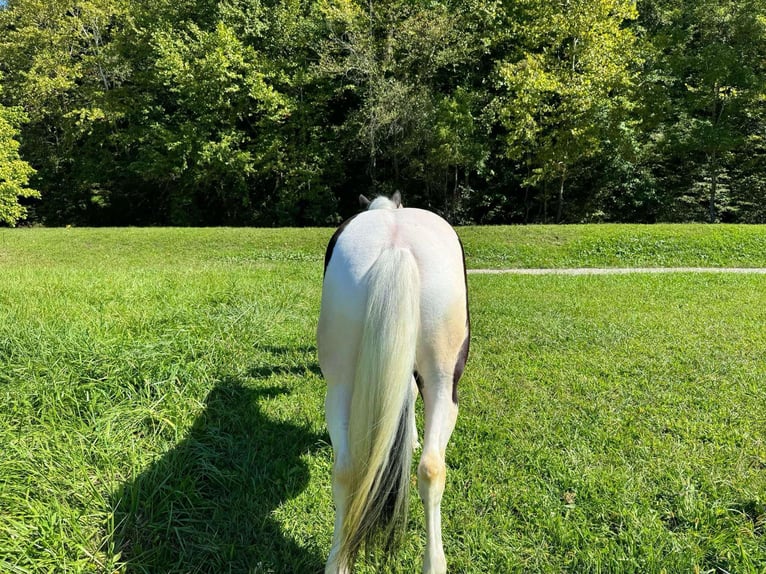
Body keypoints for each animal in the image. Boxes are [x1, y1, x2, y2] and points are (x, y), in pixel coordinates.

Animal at [317, 192, 470, 574]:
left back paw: (337, 561)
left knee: (347, 470)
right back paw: (435, 562)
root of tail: (395, 245)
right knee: (433, 467)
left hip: (339, 380)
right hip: (445, 379)